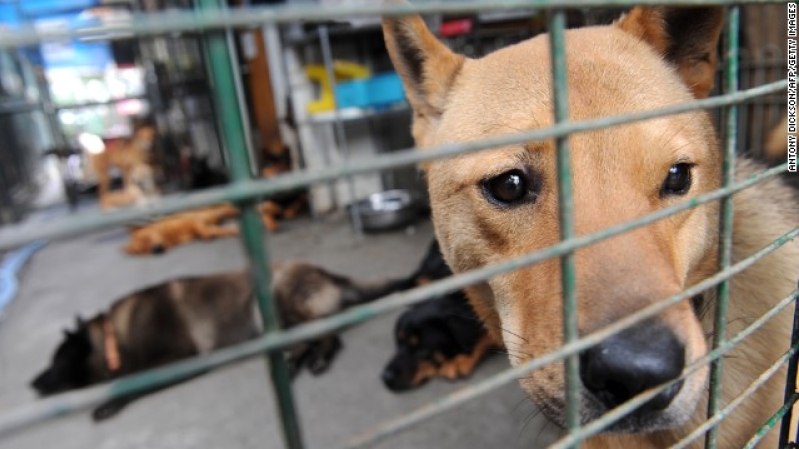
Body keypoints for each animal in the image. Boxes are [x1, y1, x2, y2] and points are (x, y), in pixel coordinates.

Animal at [29, 260, 406, 418]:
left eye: (58, 359)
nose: (31, 384)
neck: (113, 337)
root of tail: (328, 273)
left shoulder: (179, 358)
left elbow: (134, 379)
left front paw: (110, 401)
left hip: (275, 297)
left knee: (328, 335)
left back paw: (317, 360)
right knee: (303, 340)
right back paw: (289, 365)